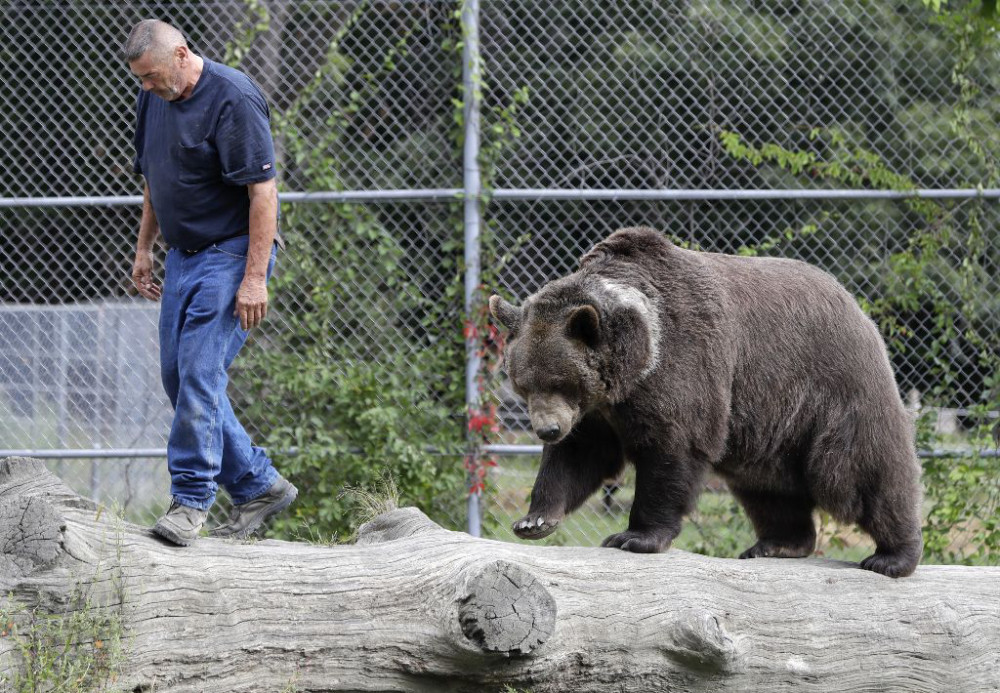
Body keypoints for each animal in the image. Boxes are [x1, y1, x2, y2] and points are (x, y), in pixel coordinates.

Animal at [490, 224, 920, 576]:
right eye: (523, 383)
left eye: (561, 381)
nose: (547, 429)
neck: (637, 364)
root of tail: (855, 306)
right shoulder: (598, 413)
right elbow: (578, 457)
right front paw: (534, 520)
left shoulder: (684, 365)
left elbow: (671, 450)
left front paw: (635, 536)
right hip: (767, 425)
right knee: (769, 488)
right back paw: (777, 543)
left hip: (832, 387)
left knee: (863, 467)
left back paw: (892, 555)